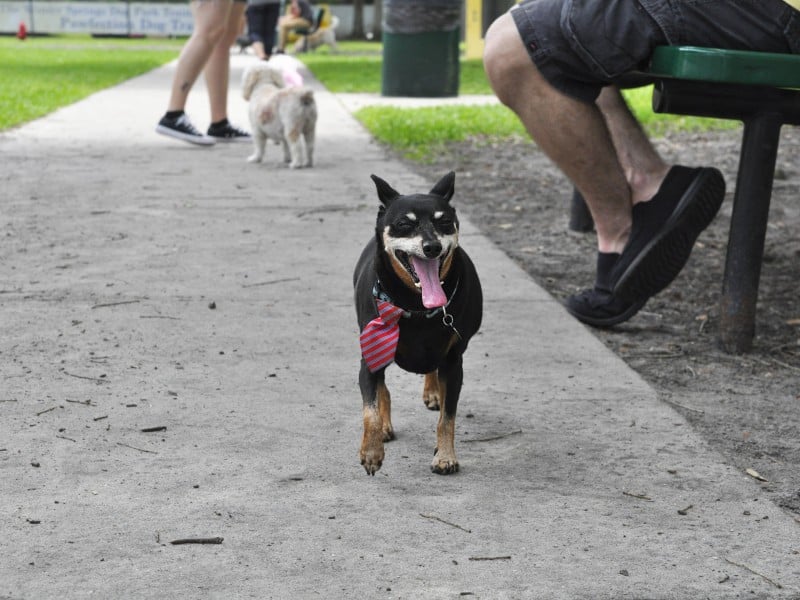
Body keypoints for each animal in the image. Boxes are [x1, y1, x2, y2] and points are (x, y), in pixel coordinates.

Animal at [353, 172, 483, 476]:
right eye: (404, 224)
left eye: (444, 222)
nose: (432, 247)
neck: (416, 306)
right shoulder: (371, 354)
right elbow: (371, 409)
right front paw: (372, 450)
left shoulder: (454, 361)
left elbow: (448, 416)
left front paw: (445, 456)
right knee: (384, 389)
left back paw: (433, 392)